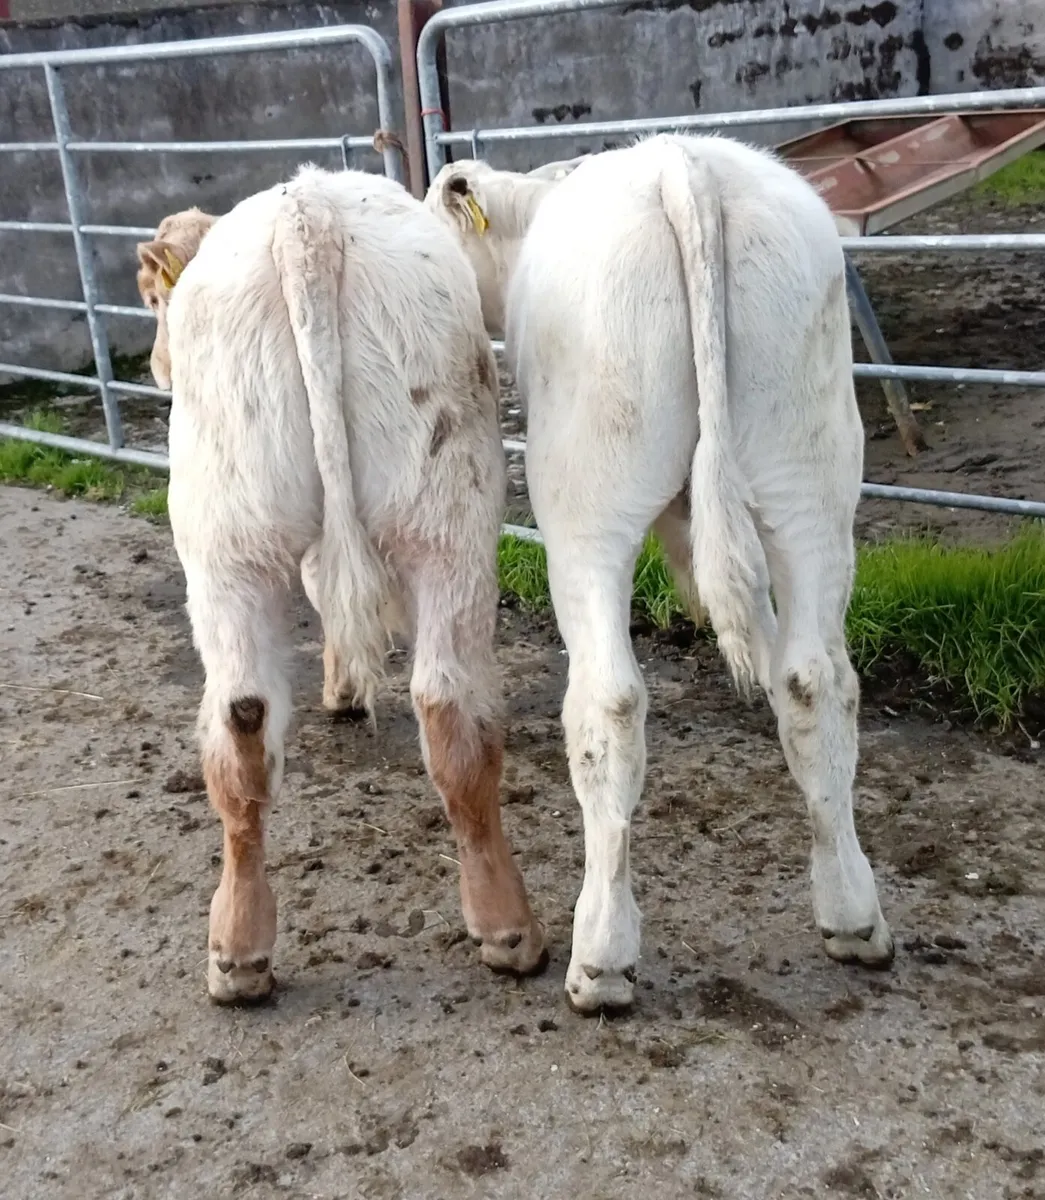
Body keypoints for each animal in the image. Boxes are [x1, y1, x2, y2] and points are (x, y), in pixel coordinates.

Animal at [134, 165, 545, 1003]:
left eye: (153, 300)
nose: (154, 365)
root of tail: (308, 212)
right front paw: (346, 689)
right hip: (446, 515)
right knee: (434, 706)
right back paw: (506, 930)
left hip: (228, 535)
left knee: (243, 721)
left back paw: (238, 953)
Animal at [426, 134, 894, 1015]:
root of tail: (685, 164)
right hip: (812, 483)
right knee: (817, 681)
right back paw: (852, 913)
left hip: (587, 510)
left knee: (608, 703)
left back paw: (600, 956)